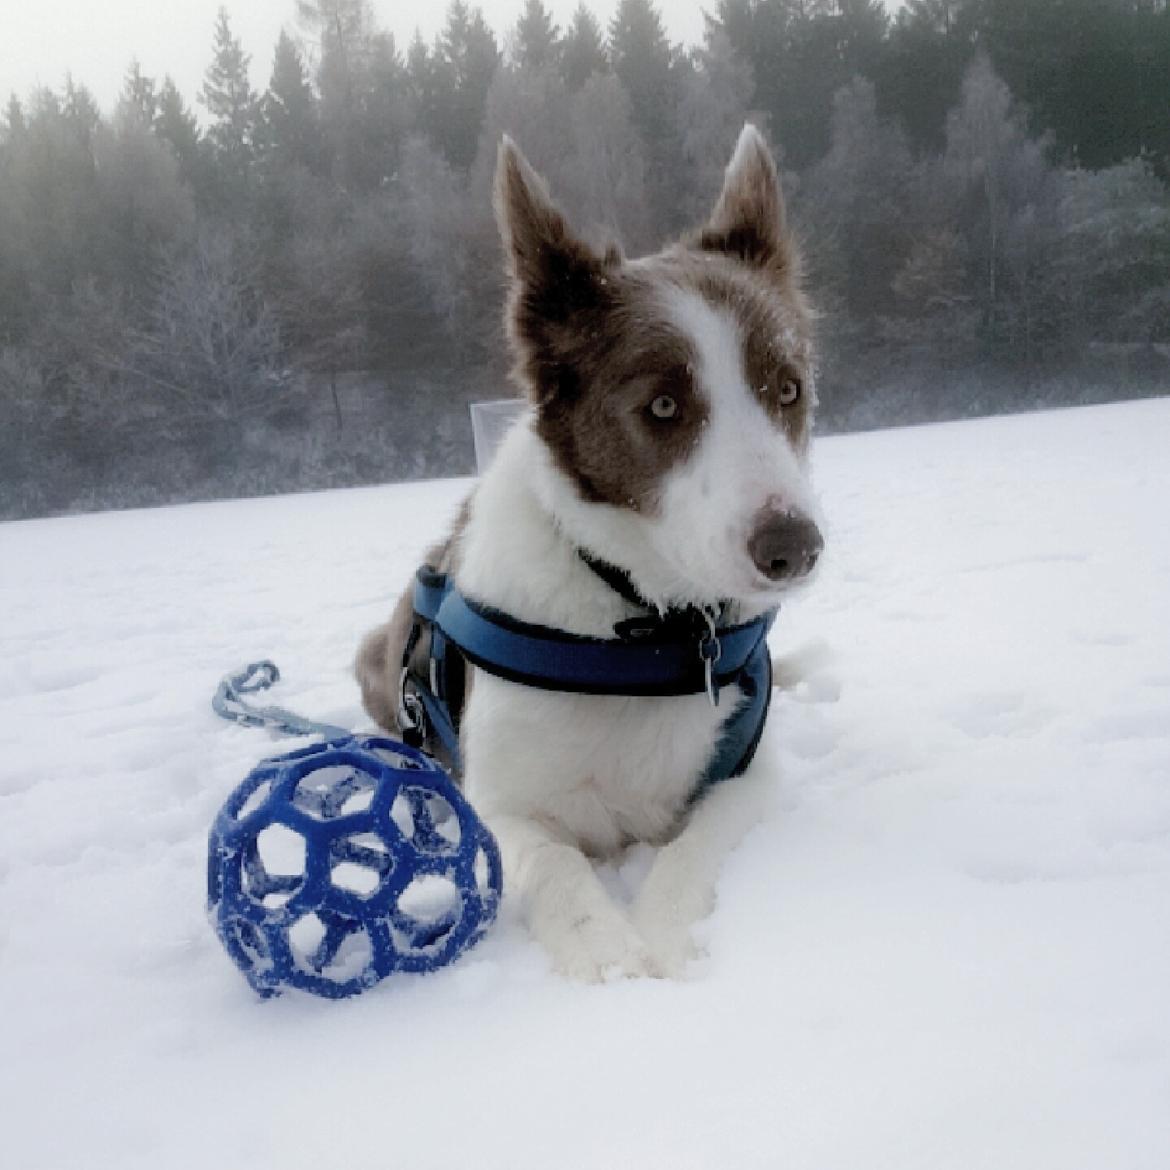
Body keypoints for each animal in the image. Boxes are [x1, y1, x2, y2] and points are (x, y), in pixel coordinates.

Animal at [355, 123, 823, 982]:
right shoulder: (498, 808)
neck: (645, 622)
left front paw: (662, 934)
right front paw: (606, 951)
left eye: (786, 389)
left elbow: (691, 848)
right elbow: (556, 863)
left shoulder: (751, 774)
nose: (794, 549)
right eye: (663, 405)